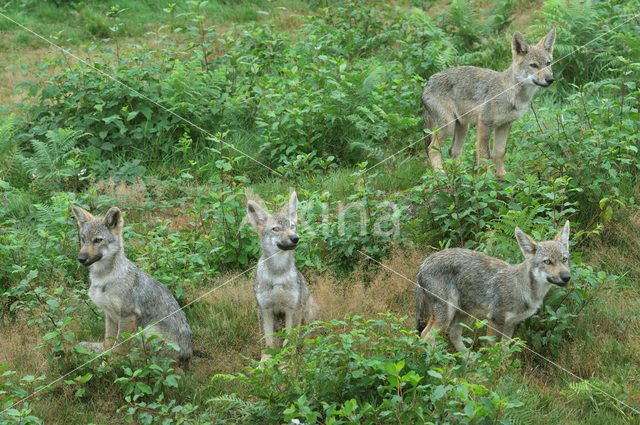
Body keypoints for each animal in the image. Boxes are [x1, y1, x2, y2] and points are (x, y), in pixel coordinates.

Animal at [71, 205, 192, 364]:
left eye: (97, 240)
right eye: (83, 239)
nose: (81, 258)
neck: (103, 279)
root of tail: (189, 354)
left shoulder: (128, 316)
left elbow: (118, 348)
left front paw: (110, 366)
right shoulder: (109, 315)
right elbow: (108, 343)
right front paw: (104, 362)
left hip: (148, 331)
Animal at [248, 190, 322, 360]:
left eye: (292, 226)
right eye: (276, 229)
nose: (295, 238)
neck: (278, 275)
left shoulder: (293, 309)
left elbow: (289, 342)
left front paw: (286, 363)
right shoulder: (264, 309)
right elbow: (267, 343)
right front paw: (265, 363)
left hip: (308, 314)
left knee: (308, 342)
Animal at [416, 219, 568, 352]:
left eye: (565, 259)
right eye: (547, 262)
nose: (567, 277)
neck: (525, 290)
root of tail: (423, 264)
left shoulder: (510, 324)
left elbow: (505, 354)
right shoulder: (495, 320)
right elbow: (495, 356)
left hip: (462, 313)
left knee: (452, 334)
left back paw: (470, 361)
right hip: (446, 314)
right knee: (425, 336)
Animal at [420, 27, 556, 177]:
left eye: (548, 63)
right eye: (534, 65)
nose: (550, 79)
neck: (510, 93)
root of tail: (427, 83)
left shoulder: (505, 125)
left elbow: (499, 152)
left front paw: (502, 175)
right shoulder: (484, 124)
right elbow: (484, 154)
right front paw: (486, 178)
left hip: (463, 127)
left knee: (453, 151)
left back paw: (464, 176)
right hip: (448, 127)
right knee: (432, 149)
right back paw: (441, 175)